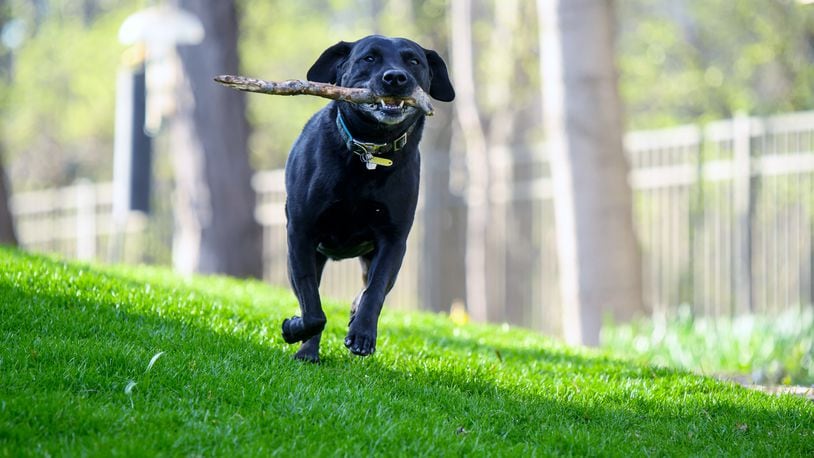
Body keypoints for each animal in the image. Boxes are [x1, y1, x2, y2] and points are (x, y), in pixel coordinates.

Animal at [280, 35, 456, 362]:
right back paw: (308, 351)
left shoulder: (393, 240)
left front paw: (361, 334)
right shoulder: (300, 233)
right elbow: (312, 308)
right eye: (369, 58)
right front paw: (294, 329)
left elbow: (375, 291)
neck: (369, 153)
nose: (395, 78)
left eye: (413, 60)